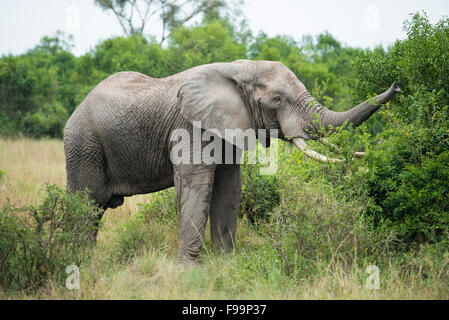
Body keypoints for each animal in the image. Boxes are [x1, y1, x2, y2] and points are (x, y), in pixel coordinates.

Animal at [62, 59, 400, 262]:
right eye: (278, 99)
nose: (397, 85)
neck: (240, 69)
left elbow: (229, 187)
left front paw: (225, 261)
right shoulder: (190, 127)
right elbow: (197, 185)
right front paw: (189, 270)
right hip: (83, 145)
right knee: (87, 203)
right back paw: (78, 263)